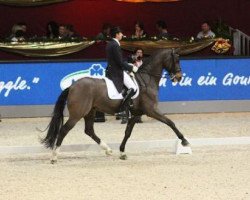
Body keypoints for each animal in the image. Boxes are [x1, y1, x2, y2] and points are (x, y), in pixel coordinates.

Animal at [41, 48, 189, 162]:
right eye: (177, 60)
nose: (179, 77)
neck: (147, 80)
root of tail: (72, 86)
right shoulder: (151, 110)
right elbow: (170, 122)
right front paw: (184, 140)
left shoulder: (136, 114)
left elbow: (128, 133)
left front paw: (122, 152)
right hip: (78, 114)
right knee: (64, 130)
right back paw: (54, 156)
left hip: (90, 112)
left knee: (89, 130)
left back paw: (108, 150)